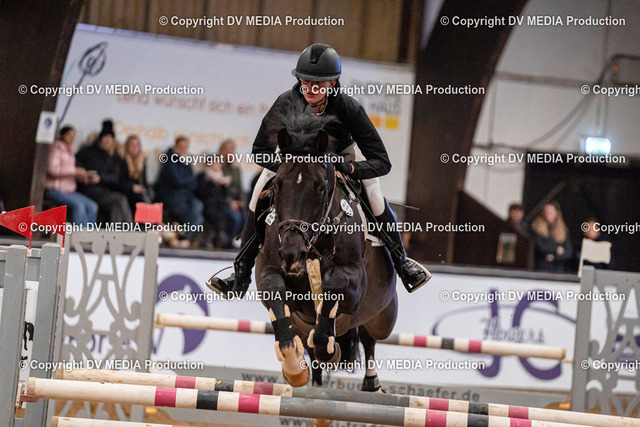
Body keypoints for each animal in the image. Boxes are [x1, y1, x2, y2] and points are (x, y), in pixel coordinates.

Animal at [254, 108, 398, 395]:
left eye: (320, 186)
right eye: (278, 185)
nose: (292, 254)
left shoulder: (355, 281)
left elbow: (333, 284)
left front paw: (329, 350)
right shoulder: (271, 273)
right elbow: (274, 290)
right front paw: (292, 366)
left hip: (383, 317)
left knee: (369, 335)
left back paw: (370, 382)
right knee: (311, 345)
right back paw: (315, 382)